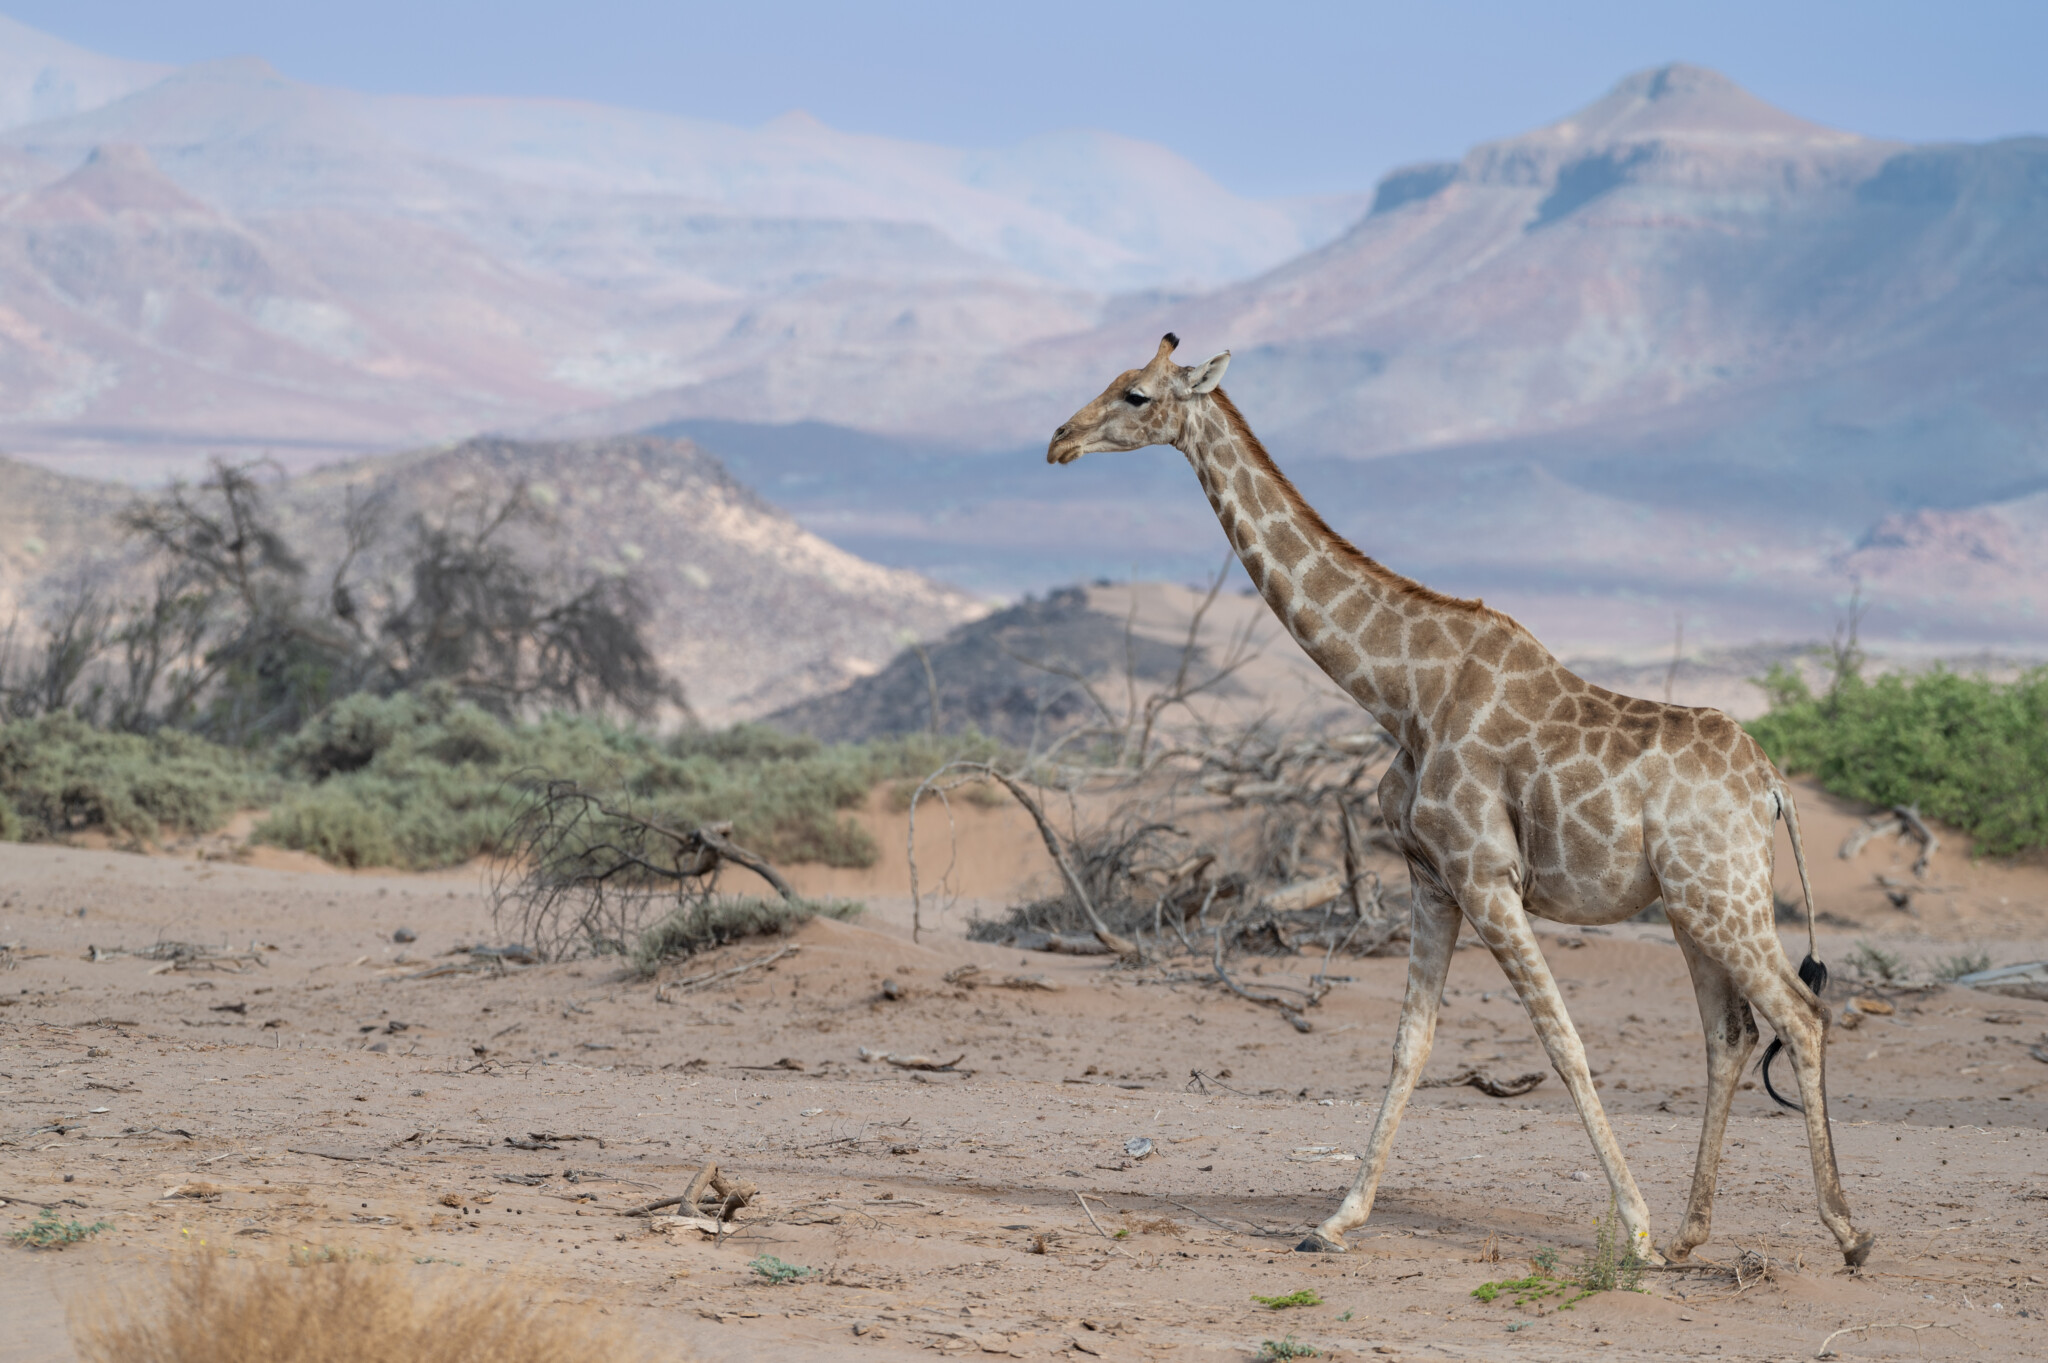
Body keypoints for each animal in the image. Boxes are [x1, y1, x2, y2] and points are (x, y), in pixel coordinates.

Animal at [1056, 331, 1875, 1260]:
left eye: (1135, 392)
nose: (1058, 440)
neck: (1398, 691)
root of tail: (1772, 785)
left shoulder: (1486, 876)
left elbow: (1564, 1039)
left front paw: (1630, 1227)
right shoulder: (1432, 878)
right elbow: (1409, 1044)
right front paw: (1337, 1219)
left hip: (1721, 896)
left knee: (1801, 1014)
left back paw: (1841, 1230)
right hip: (1691, 903)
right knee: (1731, 1032)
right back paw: (1693, 1232)